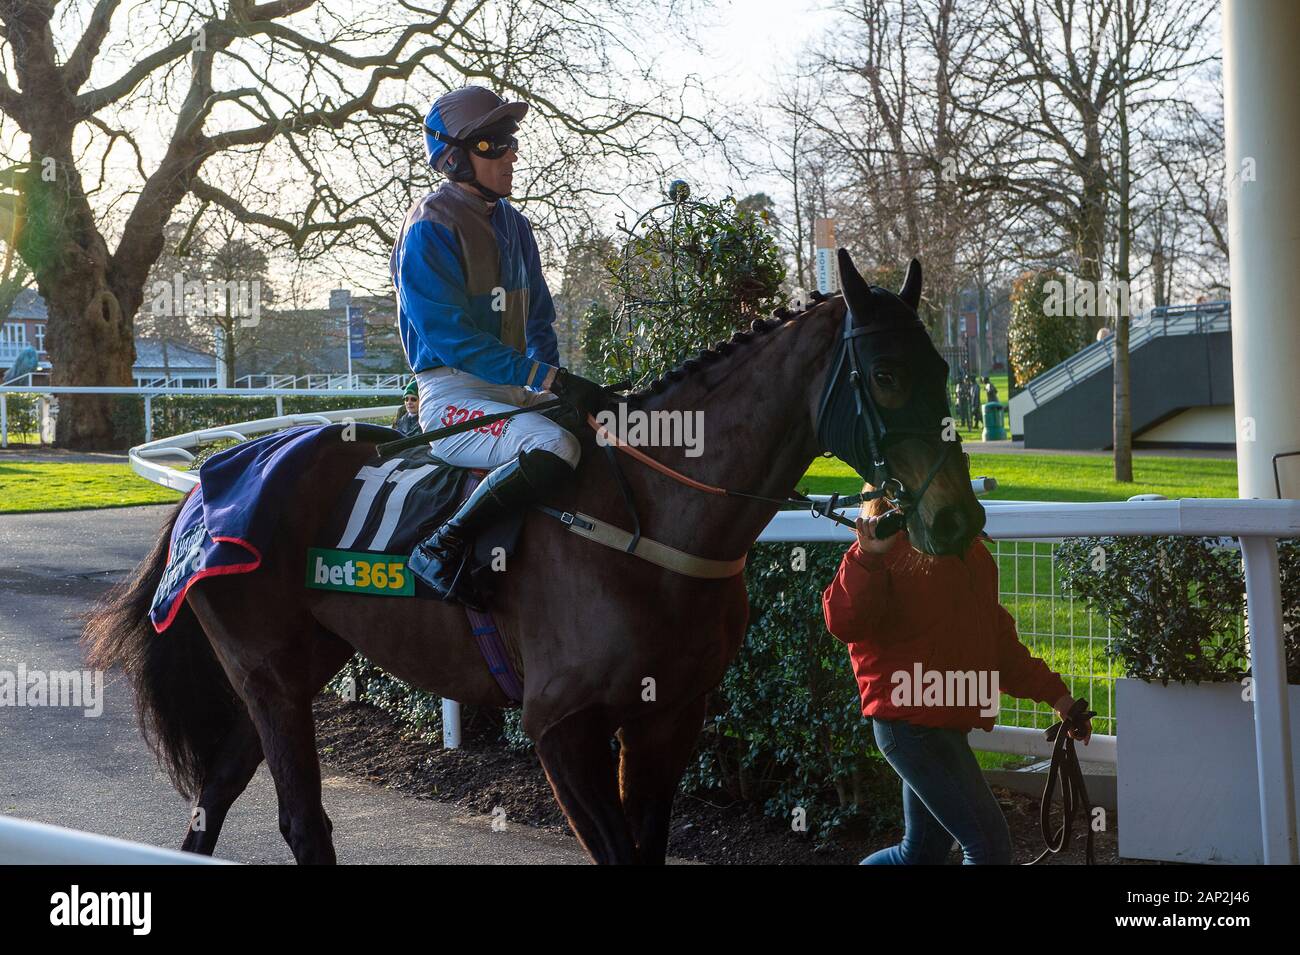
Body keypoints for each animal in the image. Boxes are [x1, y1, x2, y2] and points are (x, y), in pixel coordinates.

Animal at [83, 251, 985, 864]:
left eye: (947, 367)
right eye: (887, 373)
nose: (958, 518)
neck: (652, 520)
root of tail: (211, 479)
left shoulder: (669, 714)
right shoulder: (560, 724)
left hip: (297, 666)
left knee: (213, 796)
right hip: (265, 670)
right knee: (300, 819)